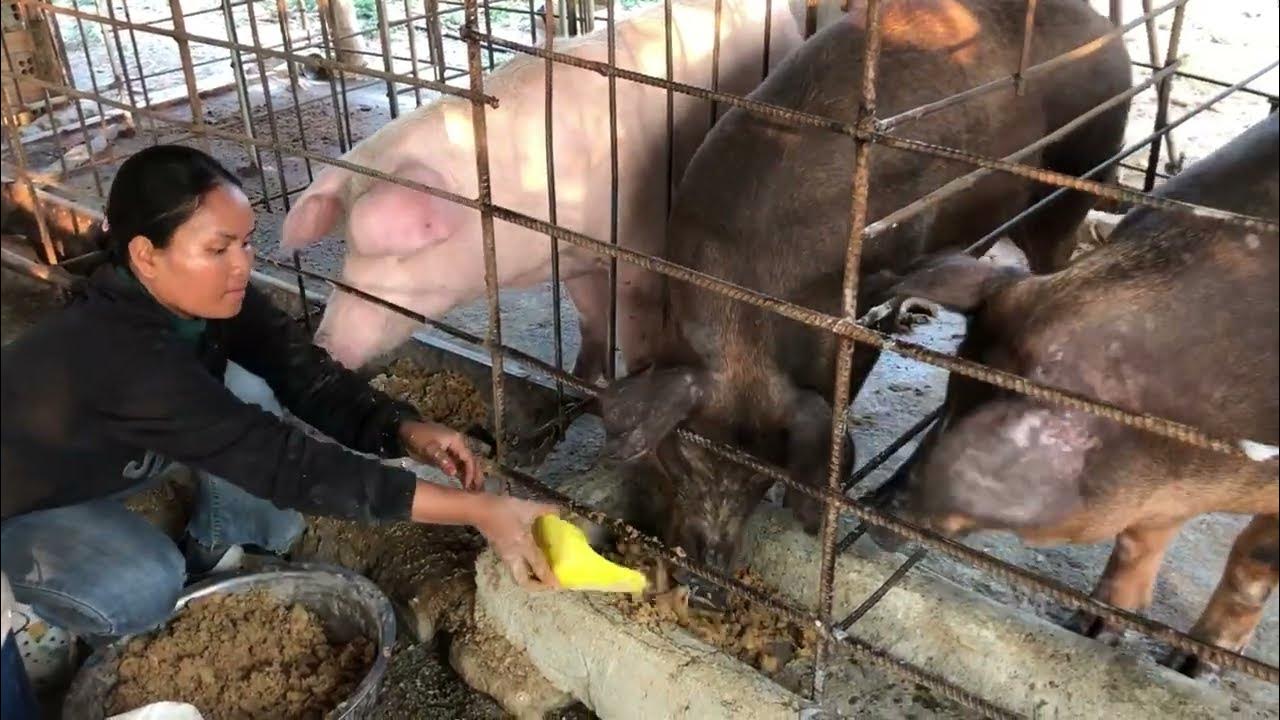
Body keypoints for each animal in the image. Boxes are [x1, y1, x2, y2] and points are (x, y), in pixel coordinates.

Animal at [280, 0, 849, 382]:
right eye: (346, 250)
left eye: (391, 255)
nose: (324, 342)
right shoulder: (572, 261)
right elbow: (590, 316)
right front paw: (579, 378)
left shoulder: (638, 243)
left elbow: (635, 321)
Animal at [594, 0, 1133, 600]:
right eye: (686, 455)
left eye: (762, 473)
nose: (707, 580)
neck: (746, 321)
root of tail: (1104, 28)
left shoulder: (865, 310)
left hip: (1081, 171)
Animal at [866, 112, 1279, 677]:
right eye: (949, 402)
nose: (872, 506)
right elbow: (1135, 541)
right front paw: (1087, 631)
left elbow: (1251, 564)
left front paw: (1190, 667)